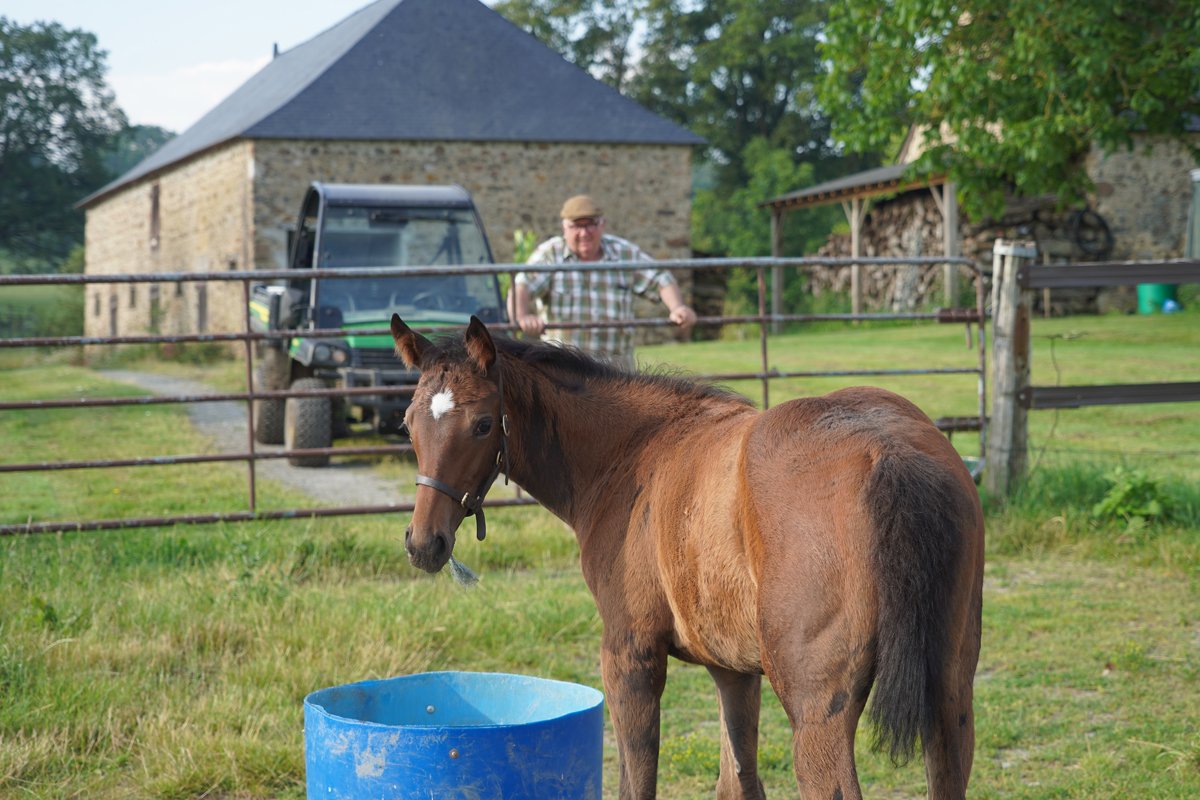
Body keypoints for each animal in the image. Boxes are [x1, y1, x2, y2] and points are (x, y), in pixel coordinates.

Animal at [390, 314, 984, 800]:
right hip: (950, 692)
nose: (424, 544)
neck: (632, 456)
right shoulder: (733, 669)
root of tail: (888, 449)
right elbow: (738, 782)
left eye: (483, 424)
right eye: (408, 422)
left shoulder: (629, 655)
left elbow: (637, 783)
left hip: (817, 708)